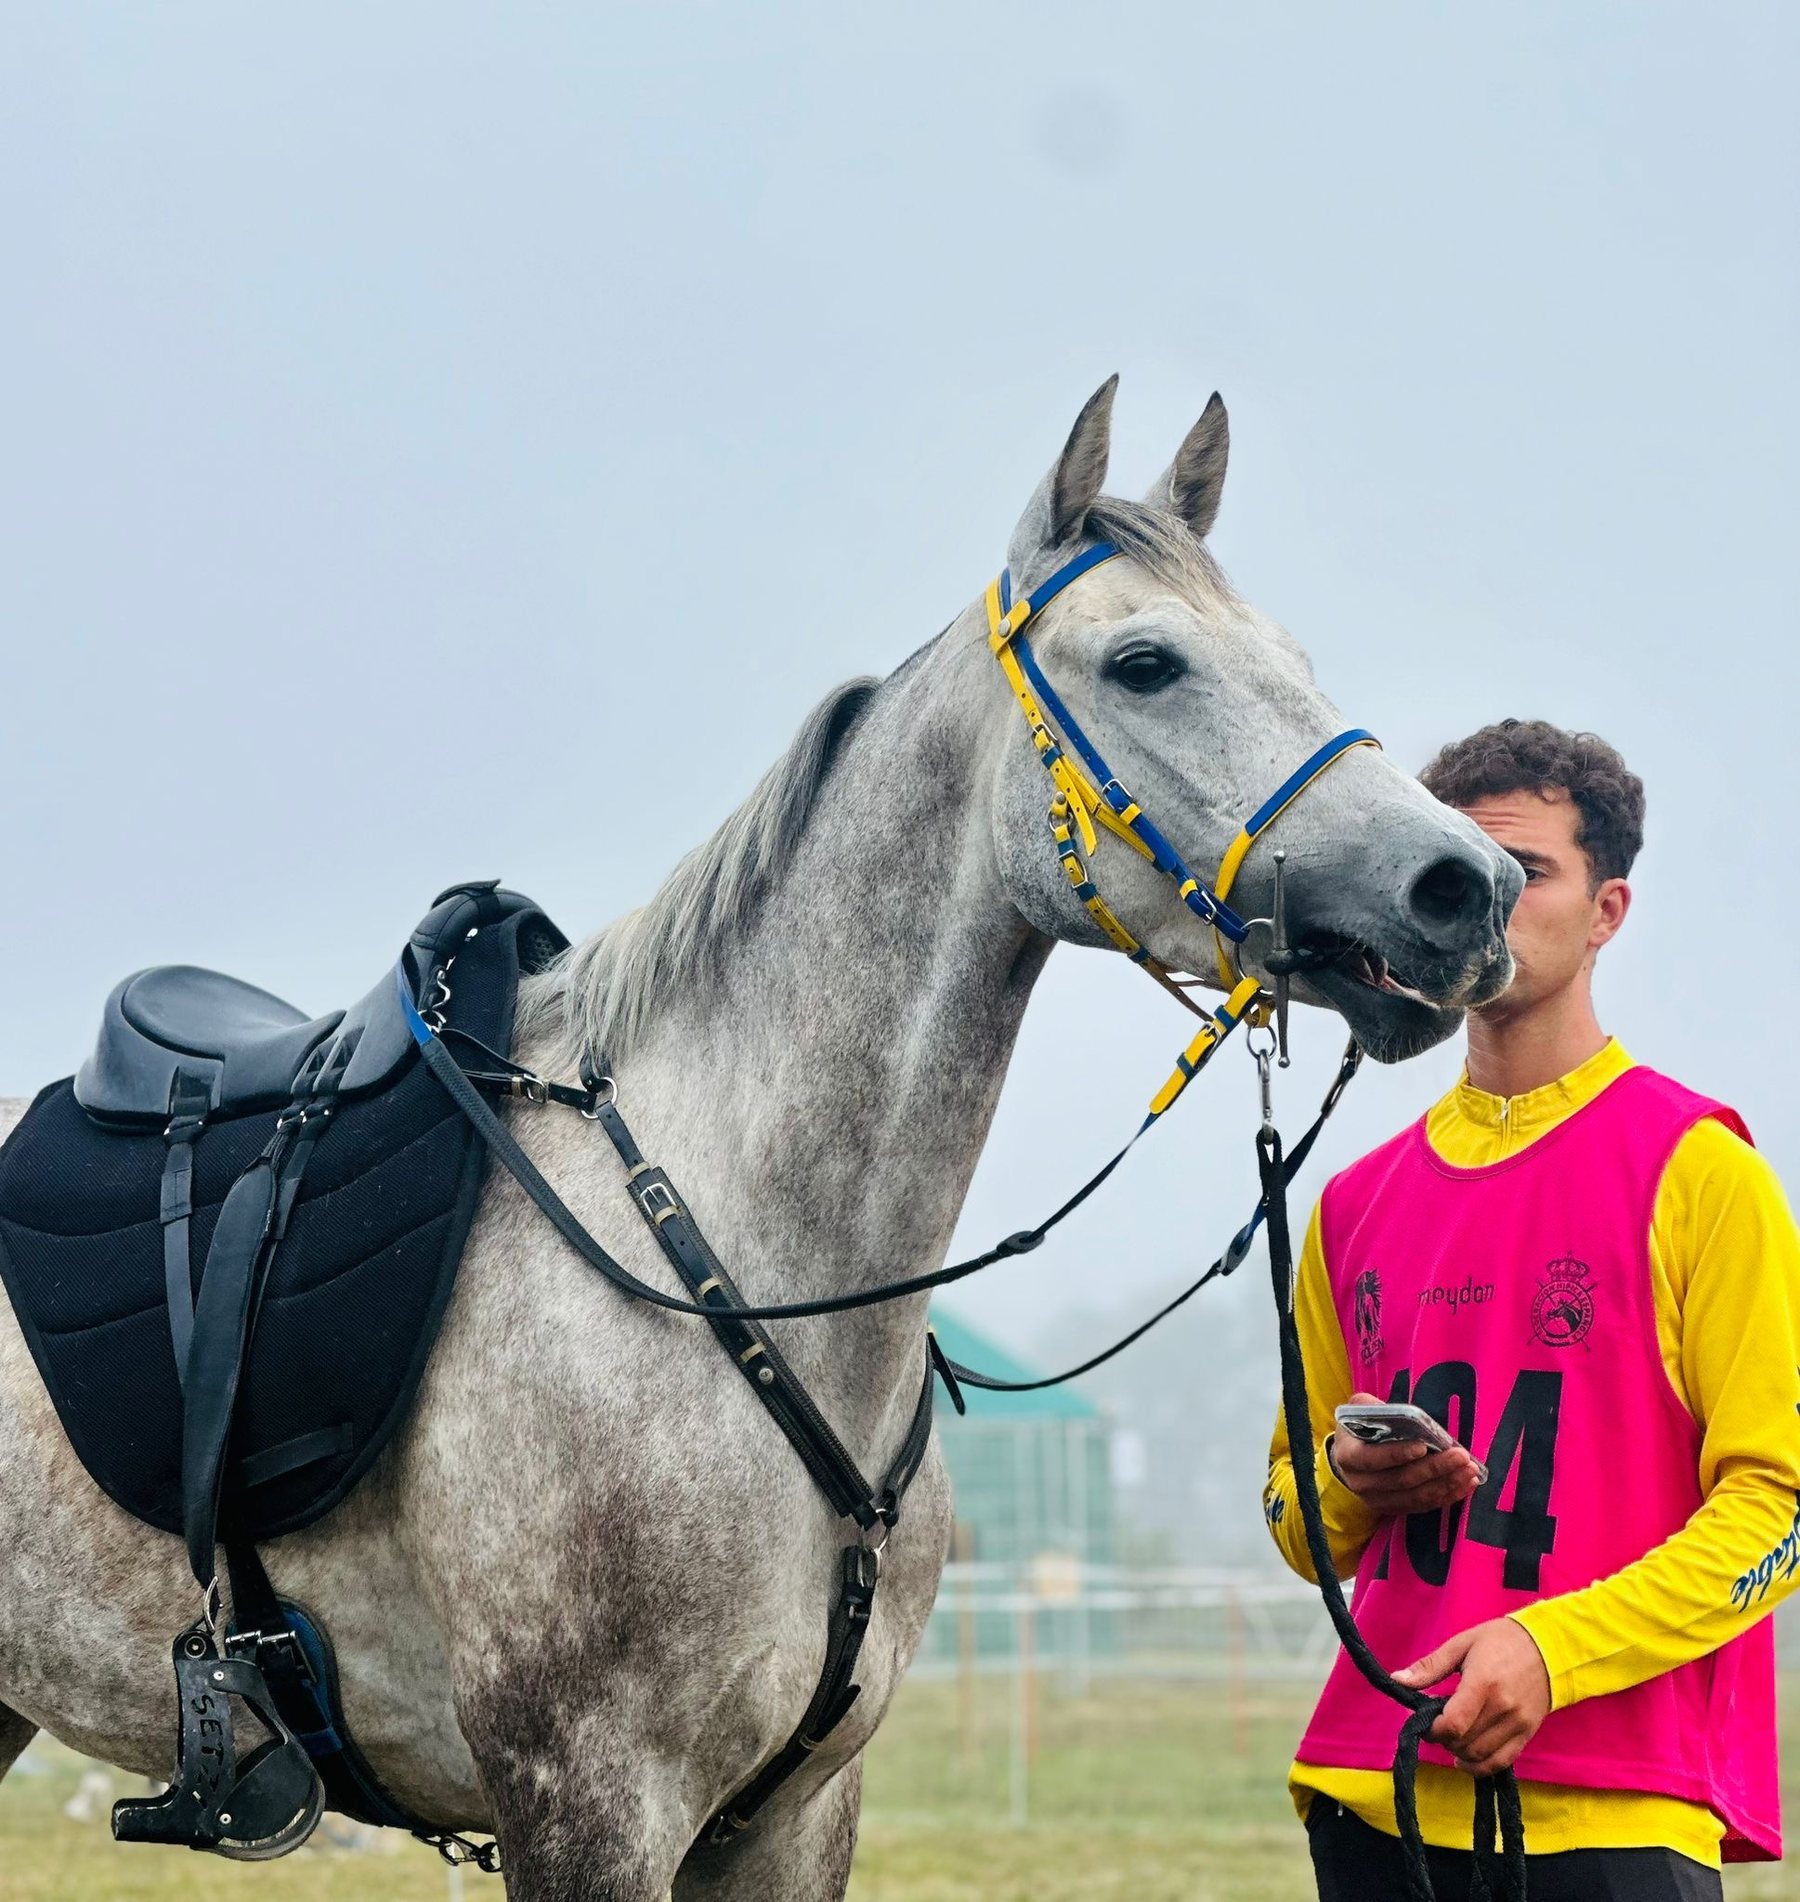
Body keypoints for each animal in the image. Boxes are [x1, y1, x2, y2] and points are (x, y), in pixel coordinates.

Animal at [0, 379, 1520, 1900]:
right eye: (1147, 663)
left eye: (1293, 657)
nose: (1467, 887)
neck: (733, 1261)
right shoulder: (589, 1805)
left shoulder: (790, 1818)